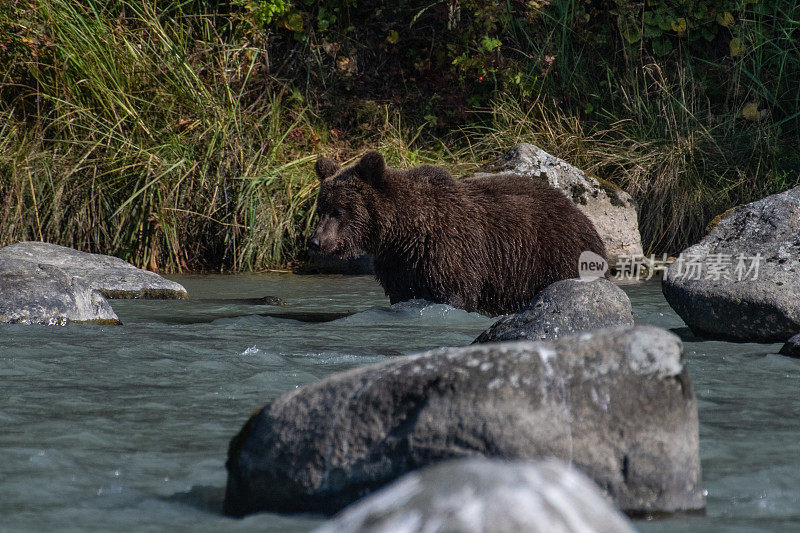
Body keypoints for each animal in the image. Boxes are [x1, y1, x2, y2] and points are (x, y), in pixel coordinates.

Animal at [306, 151, 608, 316]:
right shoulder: (399, 265)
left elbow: (456, 294)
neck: (403, 232)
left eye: (338, 210)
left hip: (554, 254)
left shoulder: (450, 252)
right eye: (321, 208)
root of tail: (581, 214)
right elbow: (402, 293)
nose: (315, 241)